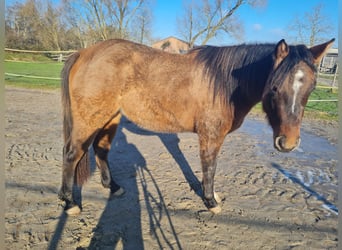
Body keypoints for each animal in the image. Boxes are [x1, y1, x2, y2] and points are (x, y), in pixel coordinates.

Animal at [58, 38, 334, 214]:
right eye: (275, 87)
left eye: (312, 88)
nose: (288, 143)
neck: (224, 83)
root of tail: (84, 52)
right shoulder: (210, 135)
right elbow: (209, 167)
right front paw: (211, 201)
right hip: (90, 118)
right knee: (72, 153)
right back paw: (70, 203)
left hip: (110, 117)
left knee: (101, 149)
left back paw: (113, 188)